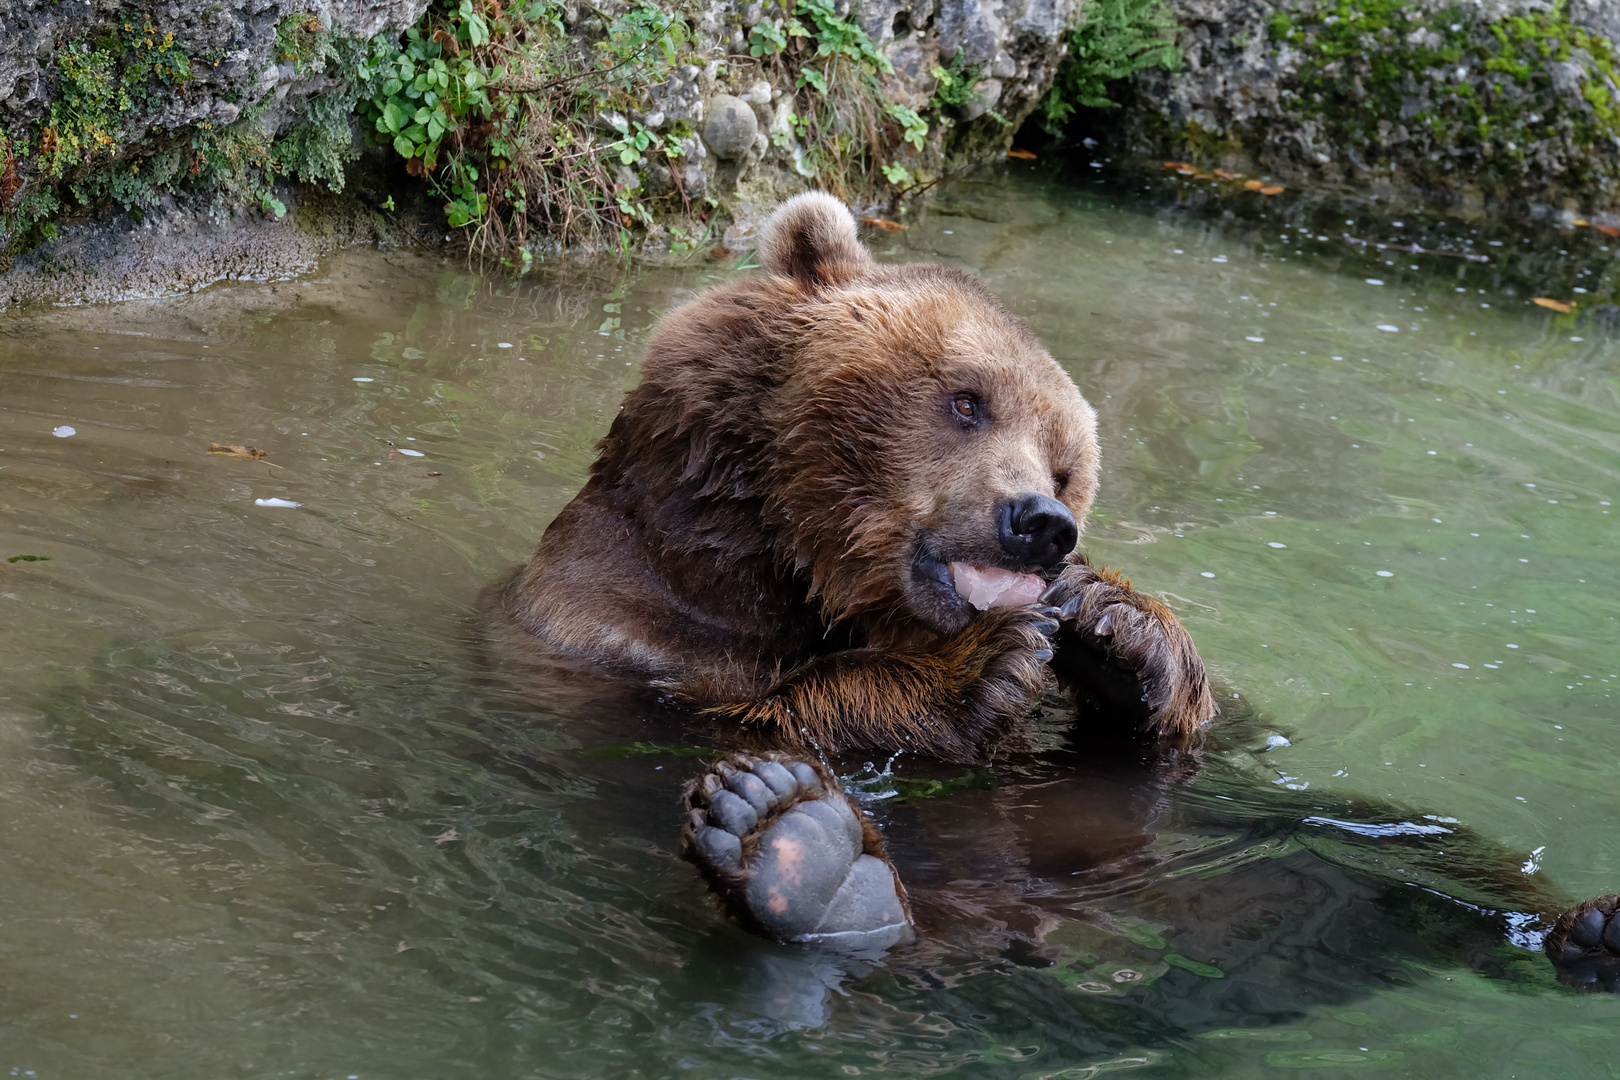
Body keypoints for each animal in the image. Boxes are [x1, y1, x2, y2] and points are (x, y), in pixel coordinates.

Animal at [505, 196, 1620, 977]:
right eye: (965, 399)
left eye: (1067, 463)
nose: (1041, 523)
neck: (805, 574)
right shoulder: (627, 626)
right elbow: (738, 711)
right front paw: (983, 666)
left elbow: (1200, 728)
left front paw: (1118, 628)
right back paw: (809, 865)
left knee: (1404, 846)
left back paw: (1584, 927)